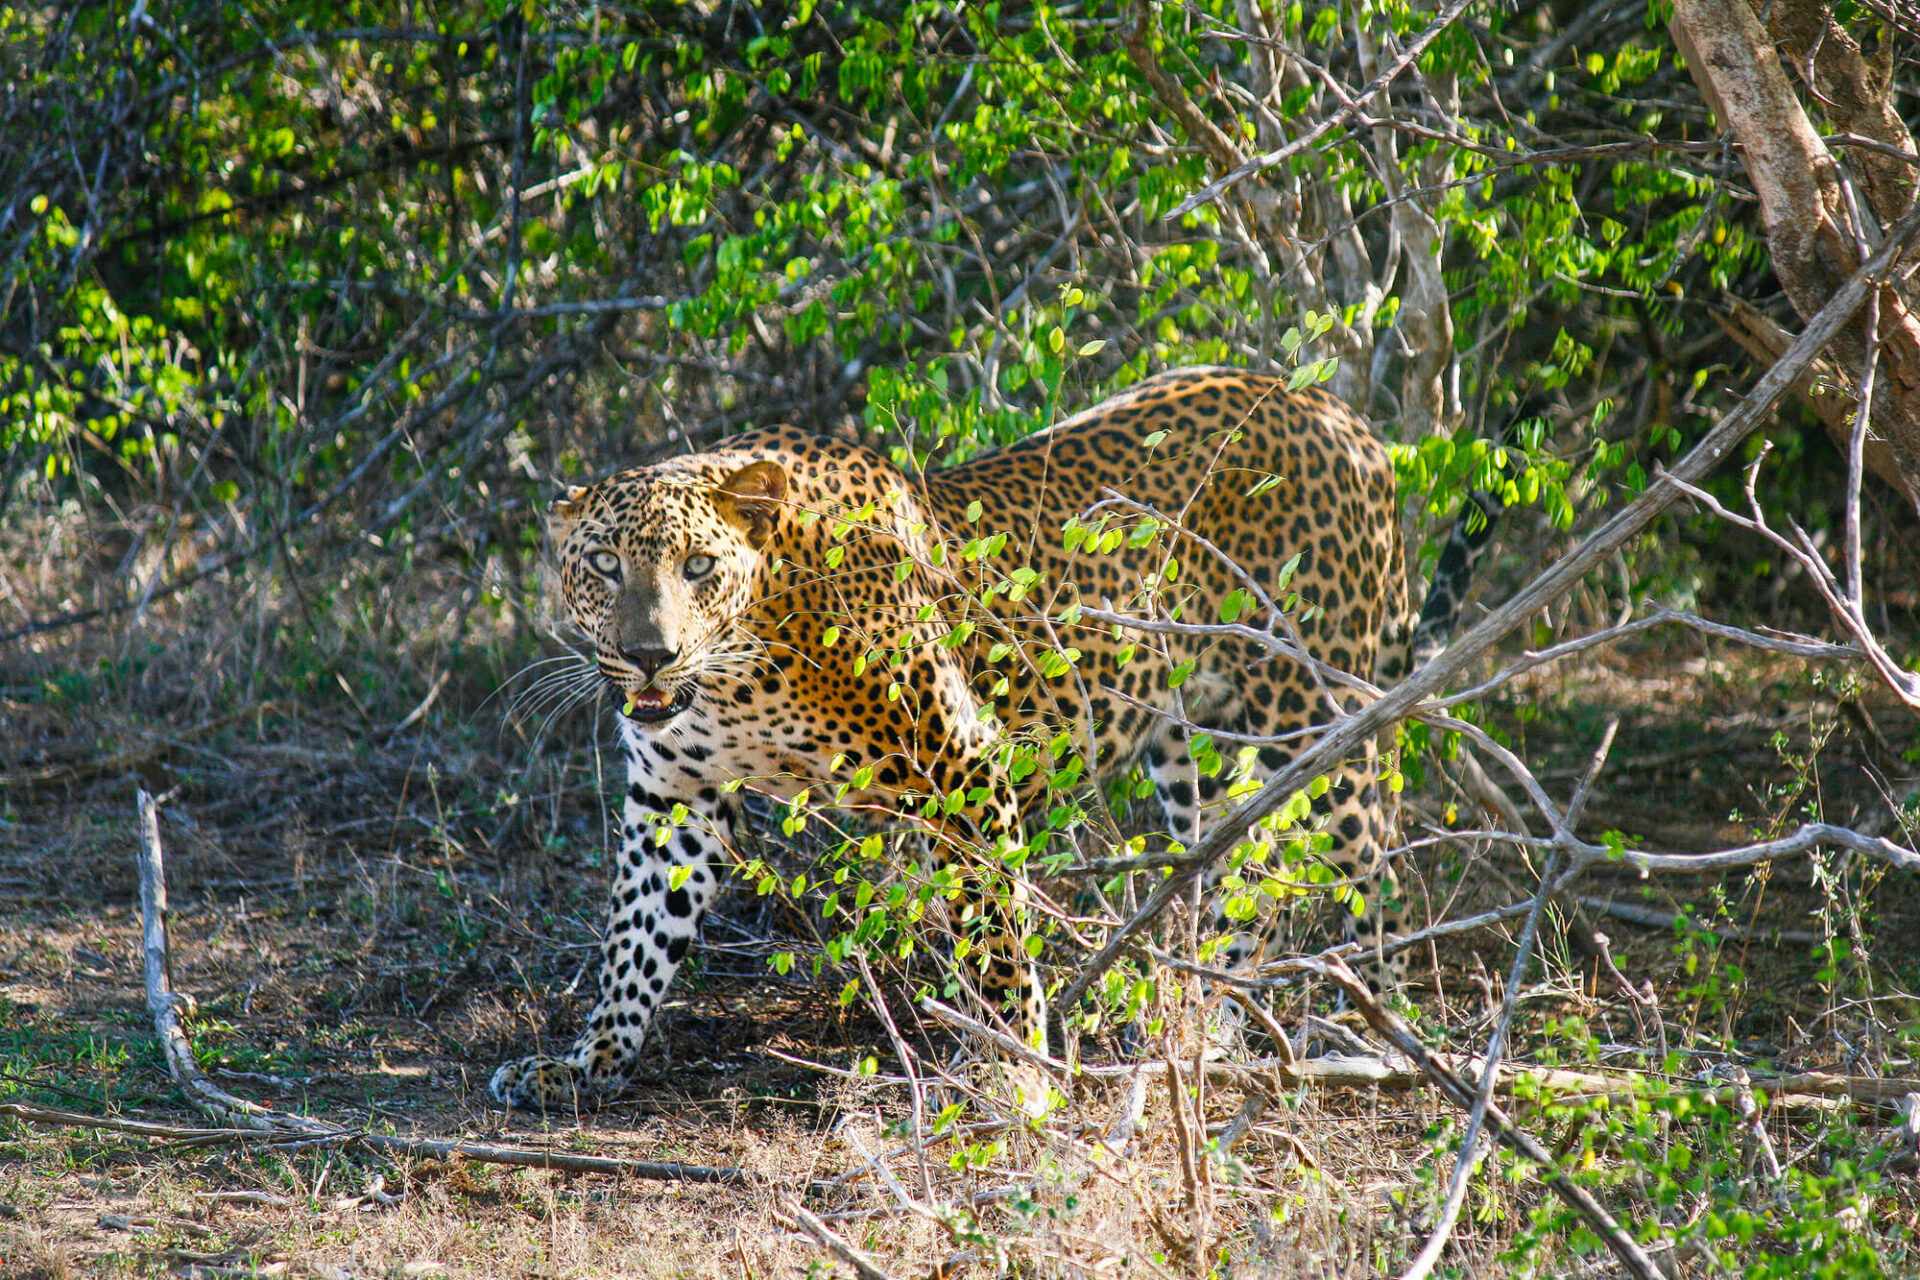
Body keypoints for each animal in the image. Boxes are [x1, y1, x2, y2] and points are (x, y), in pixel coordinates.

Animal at [487, 368, 1436, 1113]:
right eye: (604, 565)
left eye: (699, 568)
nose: (650, 654)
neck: (740, 671)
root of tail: (1340, 415)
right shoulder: (675, 800)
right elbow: (636, 938)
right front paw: (589, 1061)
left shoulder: (964, 770)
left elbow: (996, 941)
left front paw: (1020, 1077)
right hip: (1186, 750)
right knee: (1229, 865)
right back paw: (1204, 1017)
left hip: (1313, 722)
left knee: (1352, 868)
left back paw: (1355, 1029)